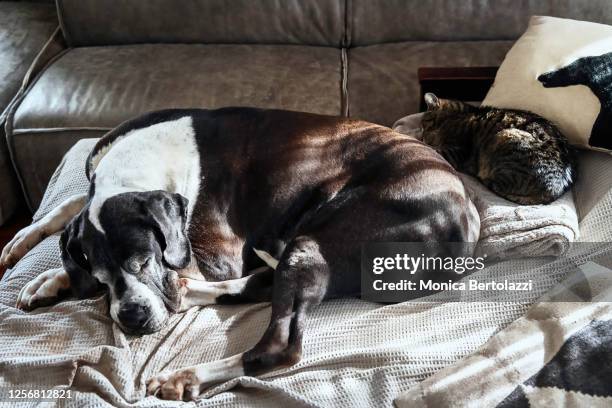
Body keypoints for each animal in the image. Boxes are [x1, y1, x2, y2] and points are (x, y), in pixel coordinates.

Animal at [0, 107, 480, 400]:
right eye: (101, 278)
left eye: (144, 261)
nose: (132, 317)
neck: (132, 169)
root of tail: (465, 217)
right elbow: (70, 206)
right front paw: (40, 264)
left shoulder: (216, 257)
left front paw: (55, 277)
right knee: (260, 287)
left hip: (311, 244)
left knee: (279, 345)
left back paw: (187, 373)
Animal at [424, 94, 576, 206]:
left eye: (424, 123)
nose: (424, 133)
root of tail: (552, 192)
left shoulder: (458, 150)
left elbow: (435, 150)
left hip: (505, 137)